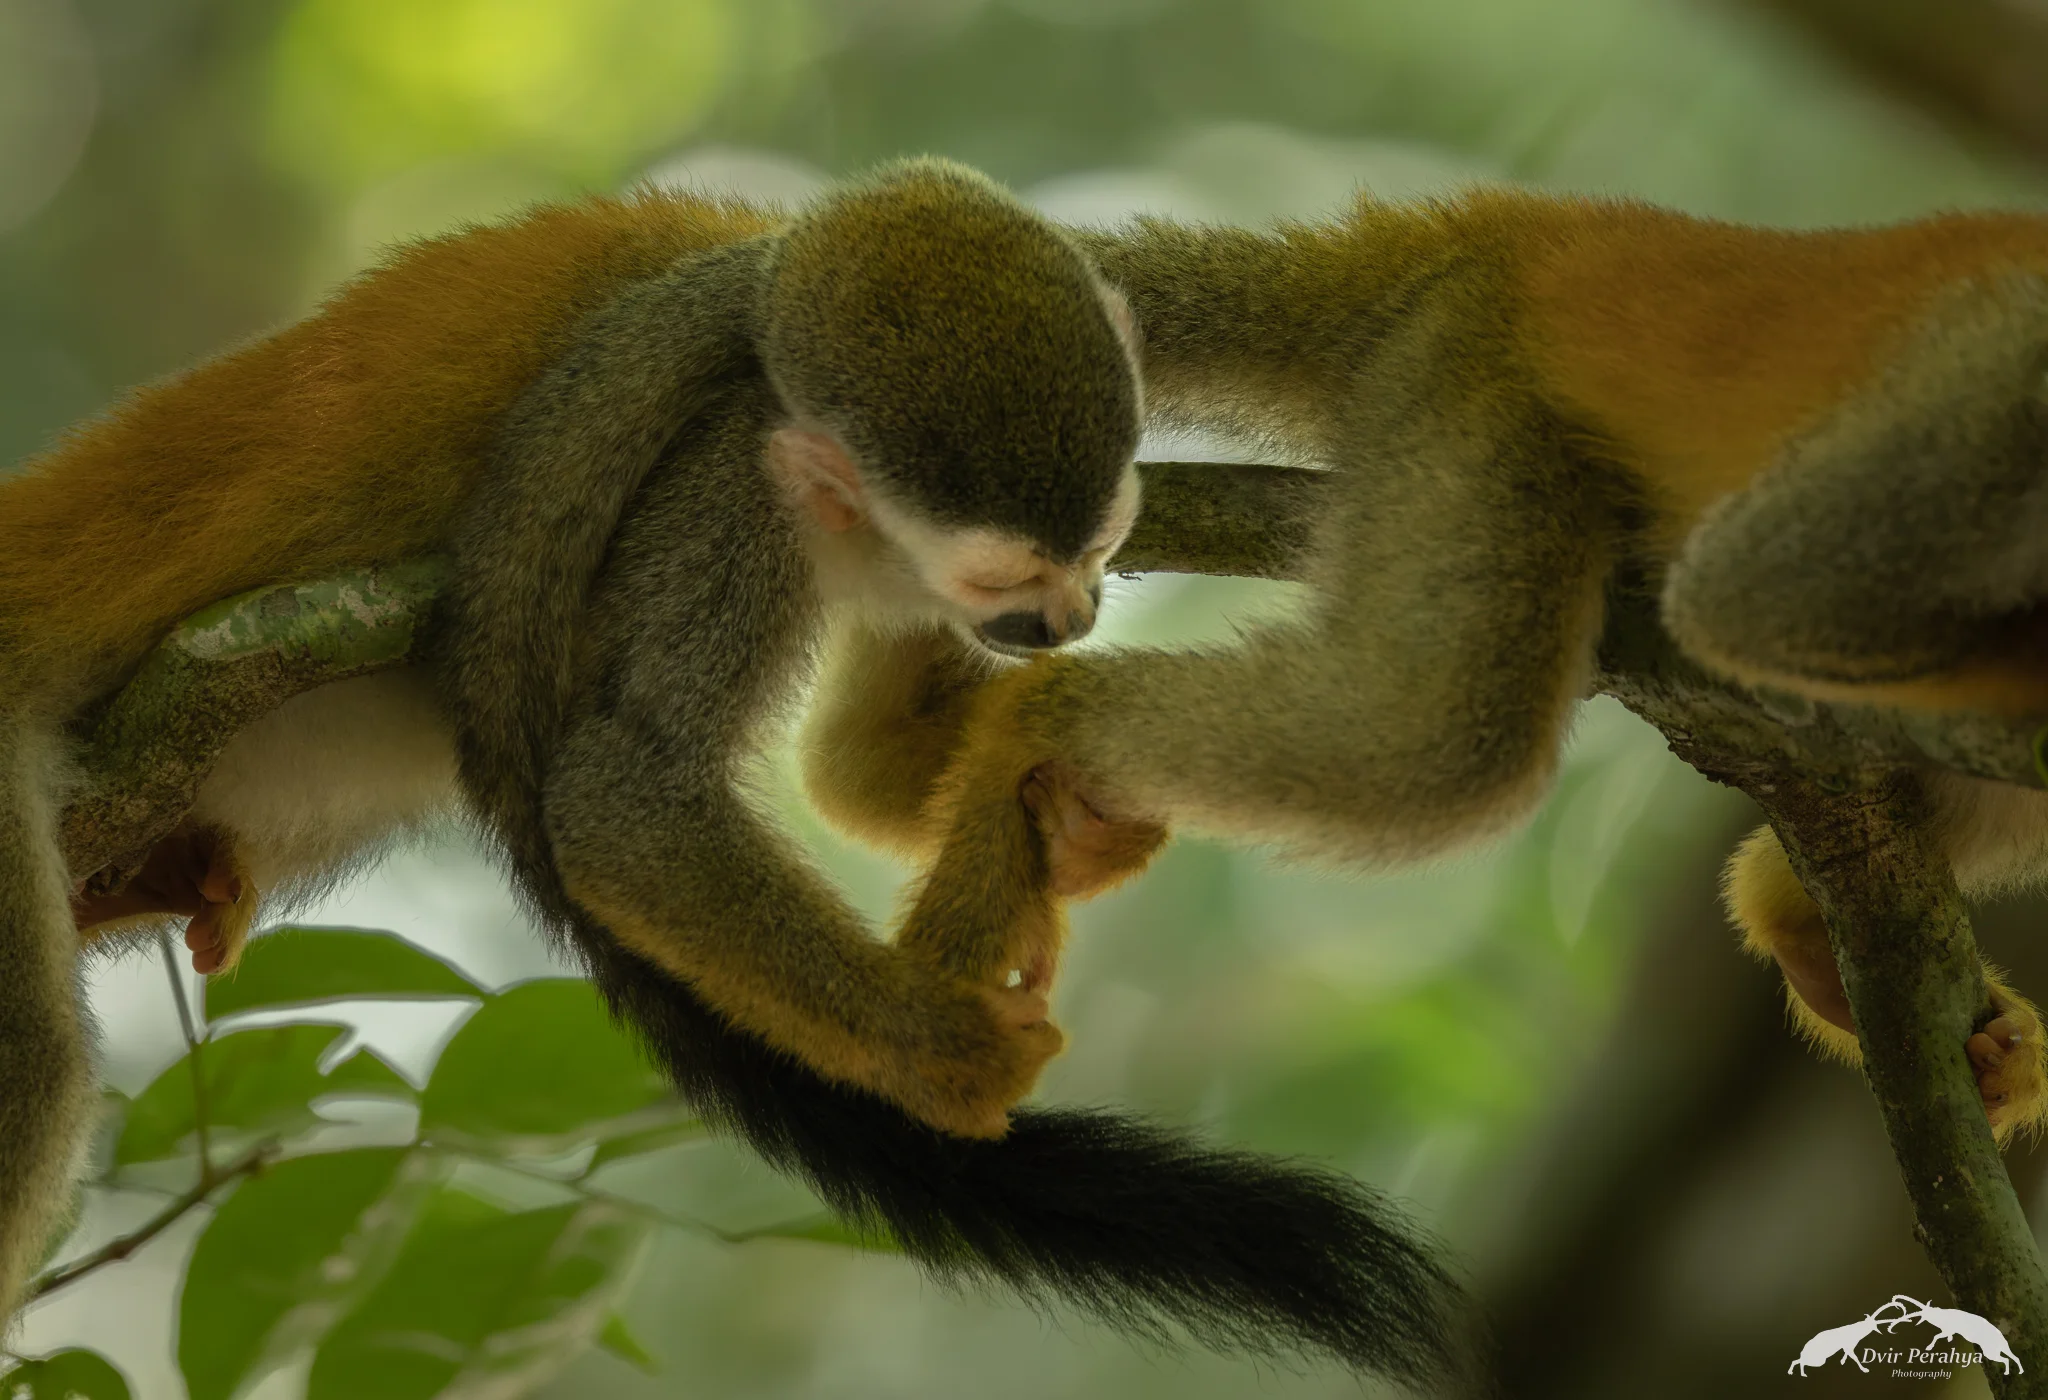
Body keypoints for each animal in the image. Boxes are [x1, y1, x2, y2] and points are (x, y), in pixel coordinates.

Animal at [0, 161, 1472, 1388]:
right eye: (1008, 573)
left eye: (1102, 541)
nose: (1063, 623)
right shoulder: (721, 473)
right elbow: (621, 795)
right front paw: (935, 1049)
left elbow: (856, 769)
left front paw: (1079, 815)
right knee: (39, 1069)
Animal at [844, 190, 2048, 1153]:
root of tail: (1513, 226)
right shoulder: (2002, 386)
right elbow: (1751, 590)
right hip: (1461, 385)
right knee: (1430, 743)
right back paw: (1048, 723)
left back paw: (1797, 913)